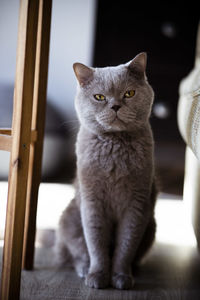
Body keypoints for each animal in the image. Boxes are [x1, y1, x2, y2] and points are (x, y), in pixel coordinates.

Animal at [55, 52, 157, 290]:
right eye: (99, 97)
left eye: (129, 93)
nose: (116, 106)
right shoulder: (92, 202)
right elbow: (96, 244)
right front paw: (98, 277)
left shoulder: (137, 205)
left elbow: (126, 246)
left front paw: (121, 277)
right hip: (69, 219)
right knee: (76, 253)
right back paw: (84, 270)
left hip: (151, 226)